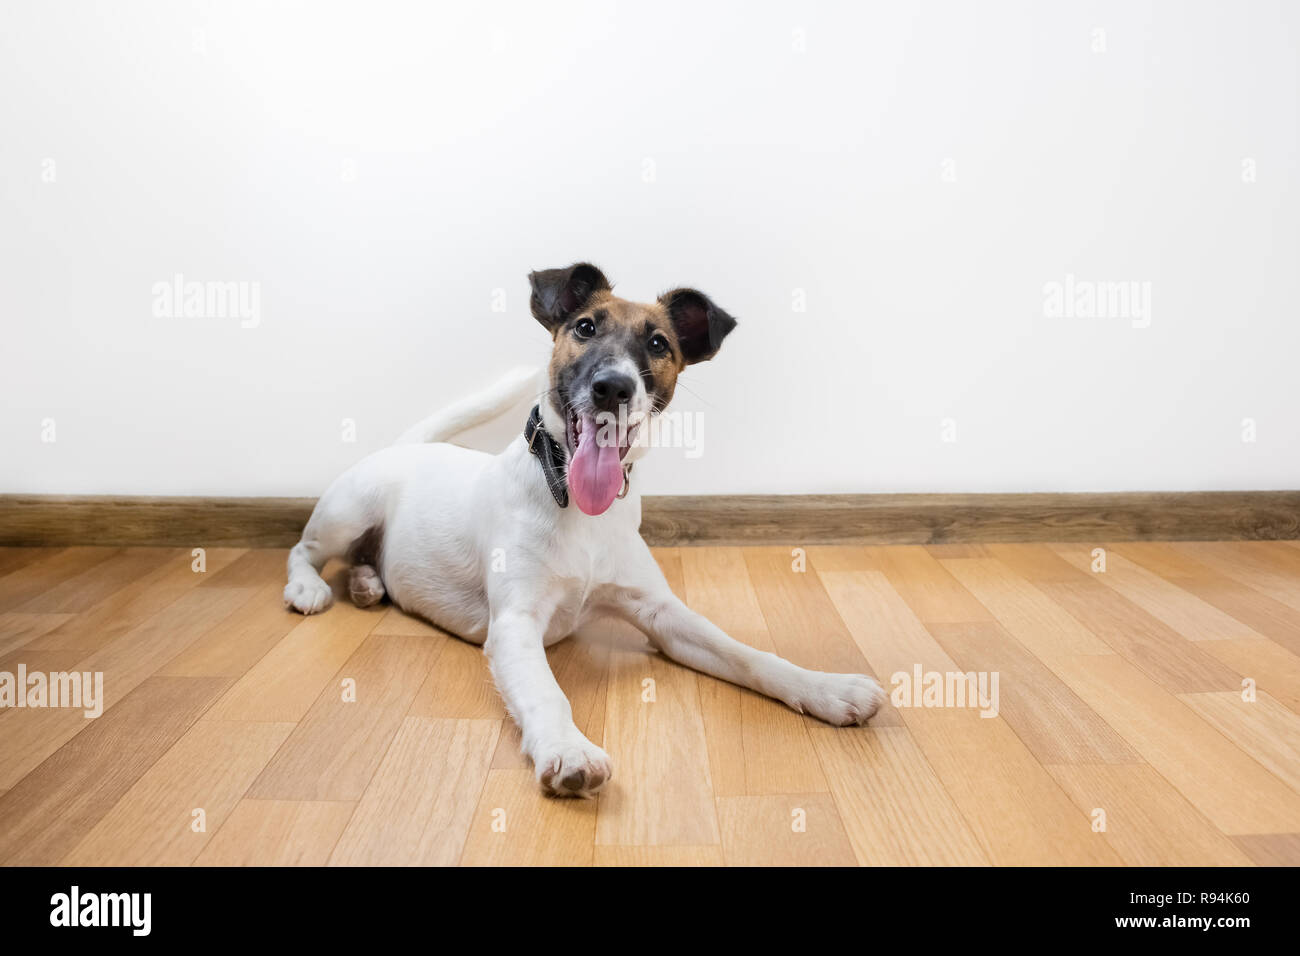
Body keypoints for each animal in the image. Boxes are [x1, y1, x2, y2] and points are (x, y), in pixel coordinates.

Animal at [283, 265, 883, 796]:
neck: (578, 509)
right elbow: (549, 694)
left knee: (362, 559)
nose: (612, 387)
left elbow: (747, 654)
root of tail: (408, 445)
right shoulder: (516, 624)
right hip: (348, 511)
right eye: (585, 328)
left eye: (659, 343)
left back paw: (368, 584)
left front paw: (826, 687)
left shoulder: (663, 614)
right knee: (304, 549)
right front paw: (568, 749)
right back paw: (311, 586)